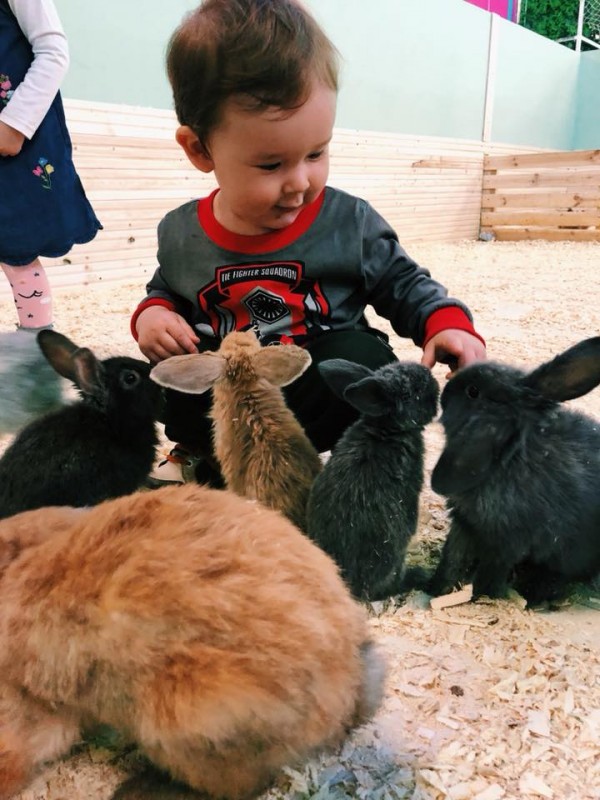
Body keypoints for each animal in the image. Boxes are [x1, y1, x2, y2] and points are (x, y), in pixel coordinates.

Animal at [428, 336, 600, 606]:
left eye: (473, 392)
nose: (445, 390)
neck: (512, 453)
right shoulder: (465, 523)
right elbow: (451, 560)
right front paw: (435, 589)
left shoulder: (508, 539)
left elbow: (490, 572)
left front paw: (483, 597)